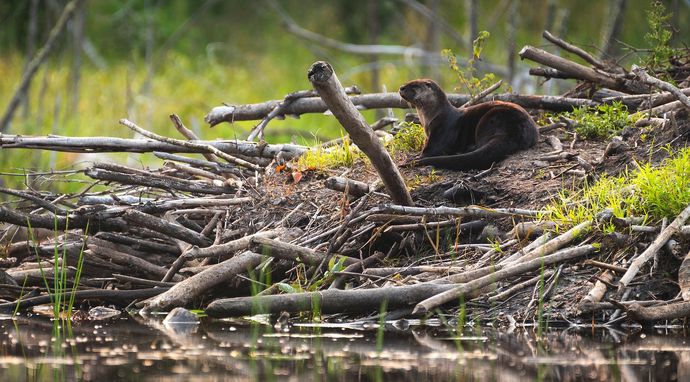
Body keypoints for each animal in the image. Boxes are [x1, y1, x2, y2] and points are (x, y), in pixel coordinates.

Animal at [398, 79, 536, 170]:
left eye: (413, 85)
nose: (401, 87)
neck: (431, 117)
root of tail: (515, 130)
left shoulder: (443, 128)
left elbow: (432, 150)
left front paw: (414, 158)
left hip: (489, 119)